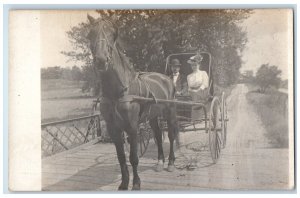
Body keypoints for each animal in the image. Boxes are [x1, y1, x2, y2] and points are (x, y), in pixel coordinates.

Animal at [86, 15, 179, 190]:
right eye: (90, 34)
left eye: (113, 34)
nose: (101, 60)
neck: (118, 92)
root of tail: (167, 78)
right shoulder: (113, 128)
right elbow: (121, 157)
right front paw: (123, 183)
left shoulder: (132, 127)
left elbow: (133, 157)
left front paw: (136, 183)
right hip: (153, 116)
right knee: (158, 135)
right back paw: (160, 162)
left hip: (169, 112)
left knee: (170, 136)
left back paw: (170, 163)